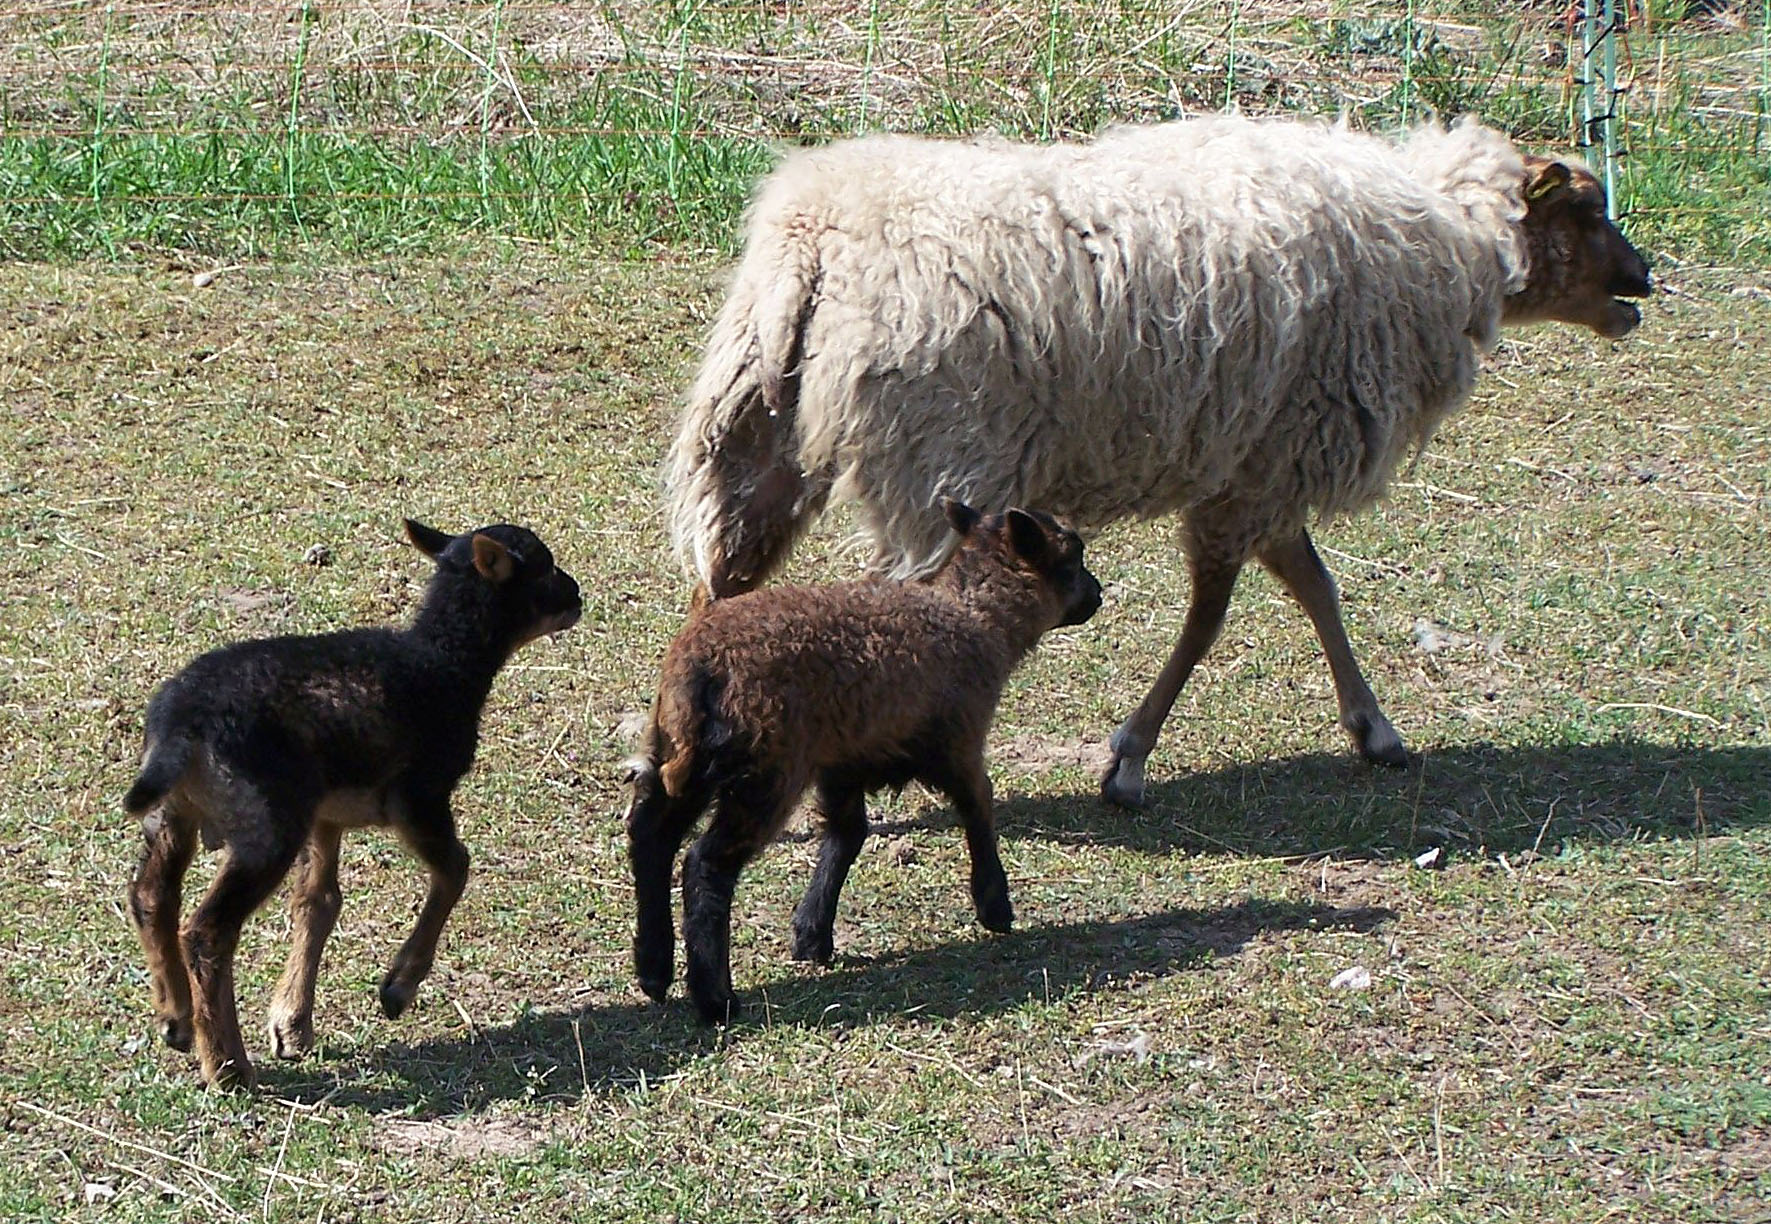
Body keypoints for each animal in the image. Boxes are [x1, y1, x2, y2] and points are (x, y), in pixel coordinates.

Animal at [665, 112, 1643, 804]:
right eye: (1589, 210)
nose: (1644, 283)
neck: (1450, 240)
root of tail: (815, 236)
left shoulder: (1261, 461)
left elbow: (1314, 588)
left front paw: (1372, 729)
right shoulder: (1266, 461)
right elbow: (1215, 617)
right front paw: (1129, 762)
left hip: (753, 434)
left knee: (721, 587)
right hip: (936, 455)